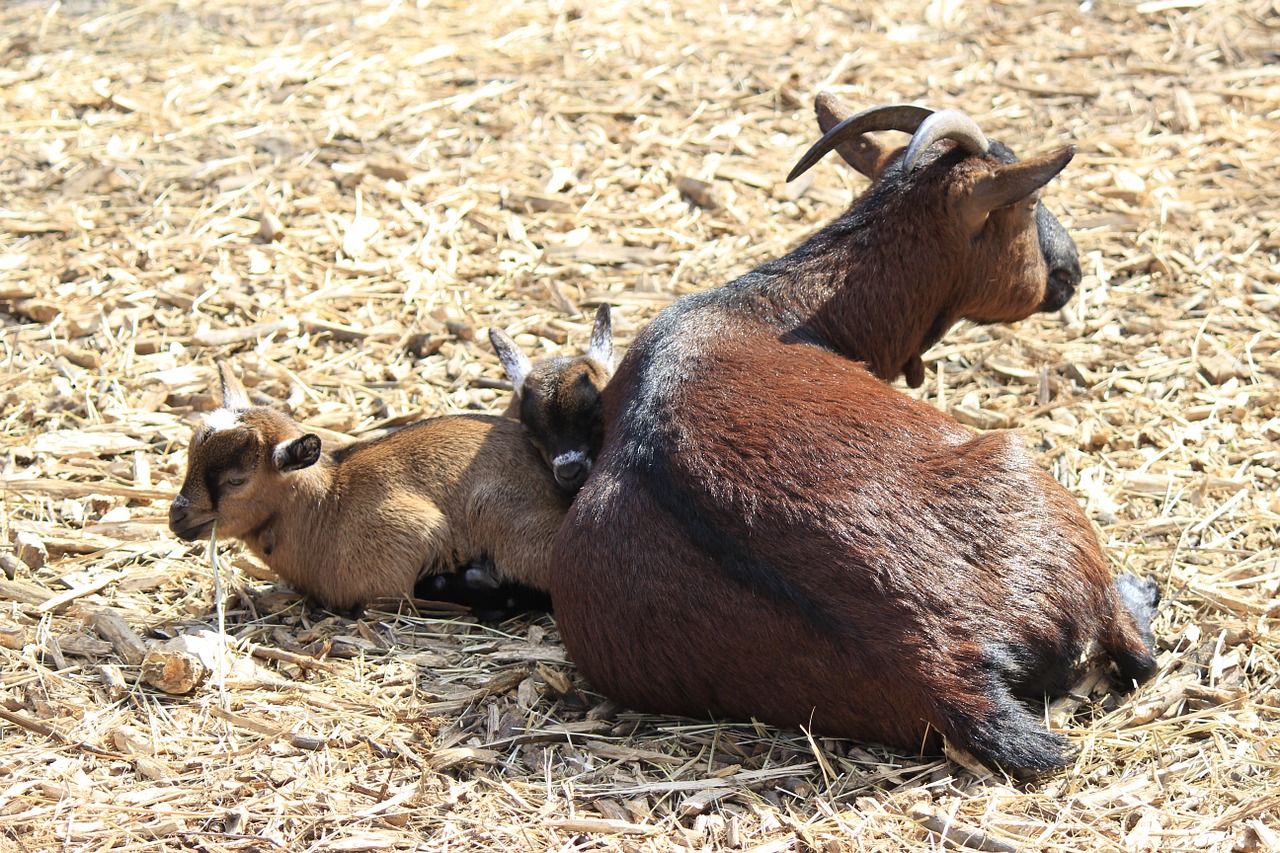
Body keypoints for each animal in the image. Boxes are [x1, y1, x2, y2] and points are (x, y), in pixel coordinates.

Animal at [550, 96, 1162, 773]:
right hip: (1024, 472)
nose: (1070, 271)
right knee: (1136, 652)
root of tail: (939, 668)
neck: (775, 308)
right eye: (1028, 204)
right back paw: (1141, 591)